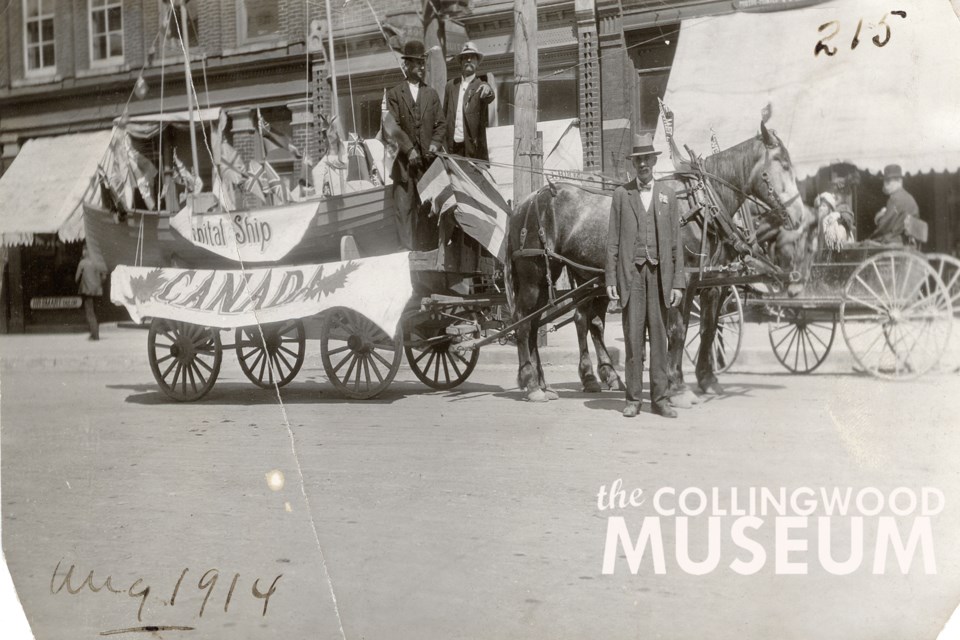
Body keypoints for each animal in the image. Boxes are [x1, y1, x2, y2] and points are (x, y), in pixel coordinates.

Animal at [502, 120, 816, 400]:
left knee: (562, 321)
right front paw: (677, 386)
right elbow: (678, 331)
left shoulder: (708, 282)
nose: (799, 215)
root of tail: (522, 204)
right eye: (782, 164)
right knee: (525, 321)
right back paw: (535, 383)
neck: (703, 204)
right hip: (535, 275)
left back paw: (564, 381)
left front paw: (704, 379)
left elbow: (706, 329)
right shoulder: (682, 279)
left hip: (576, 275)